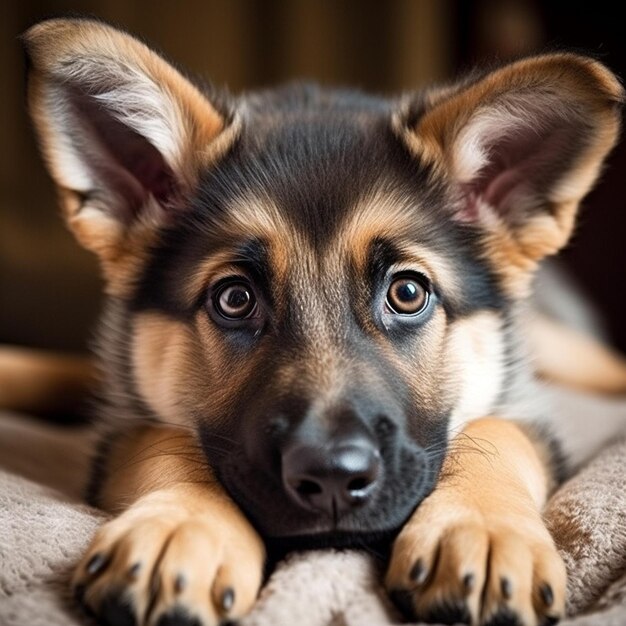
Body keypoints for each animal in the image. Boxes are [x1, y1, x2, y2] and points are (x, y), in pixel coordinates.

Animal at [14, 17, 624, 624]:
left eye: (407, 293)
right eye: (234, 299)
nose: (332, 476)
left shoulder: (524, 403)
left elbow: (496, 431)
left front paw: (482, 530)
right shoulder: (125, 409)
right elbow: (164, 440)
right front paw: (179, 525)